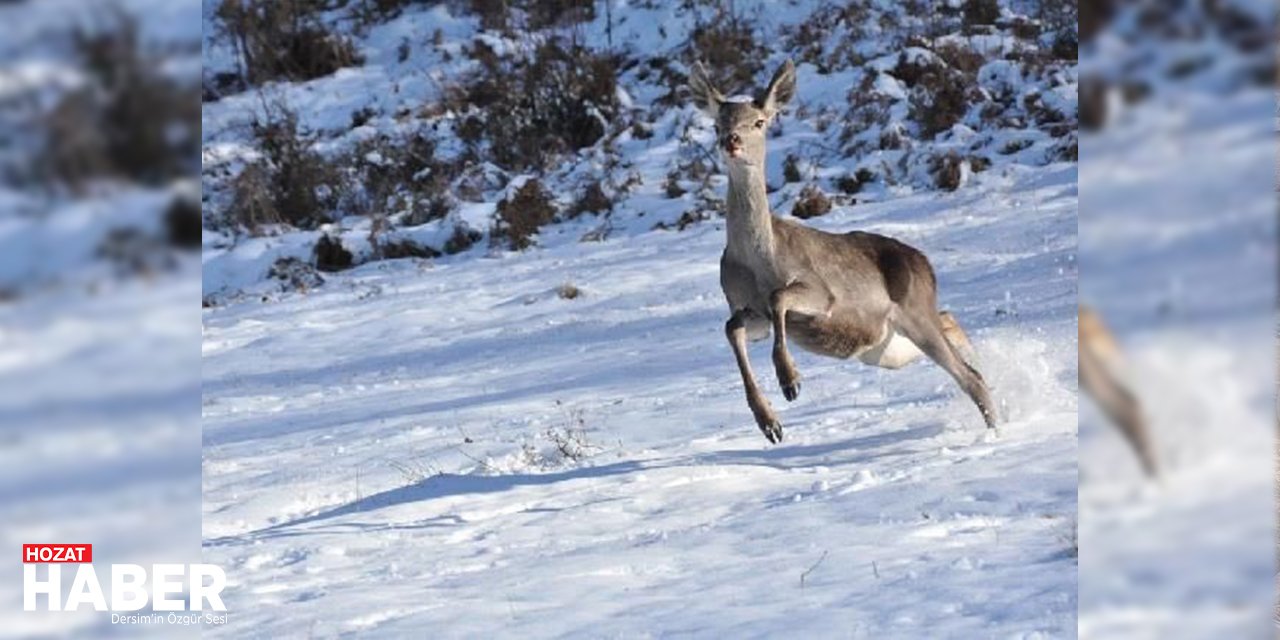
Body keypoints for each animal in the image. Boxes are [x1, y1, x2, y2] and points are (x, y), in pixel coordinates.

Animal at [691, 58, 998, 445]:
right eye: (717, 123)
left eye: (759, 122)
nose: (731, 140)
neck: (758, 260)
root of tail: (925, 264)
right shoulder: (745, 308)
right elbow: (731, 327)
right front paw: (769, 423)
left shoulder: (822, 292)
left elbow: (779, 296)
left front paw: (790, 380)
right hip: (888, 346)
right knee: (951, 325)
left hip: (913, 312)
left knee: (970, 377)